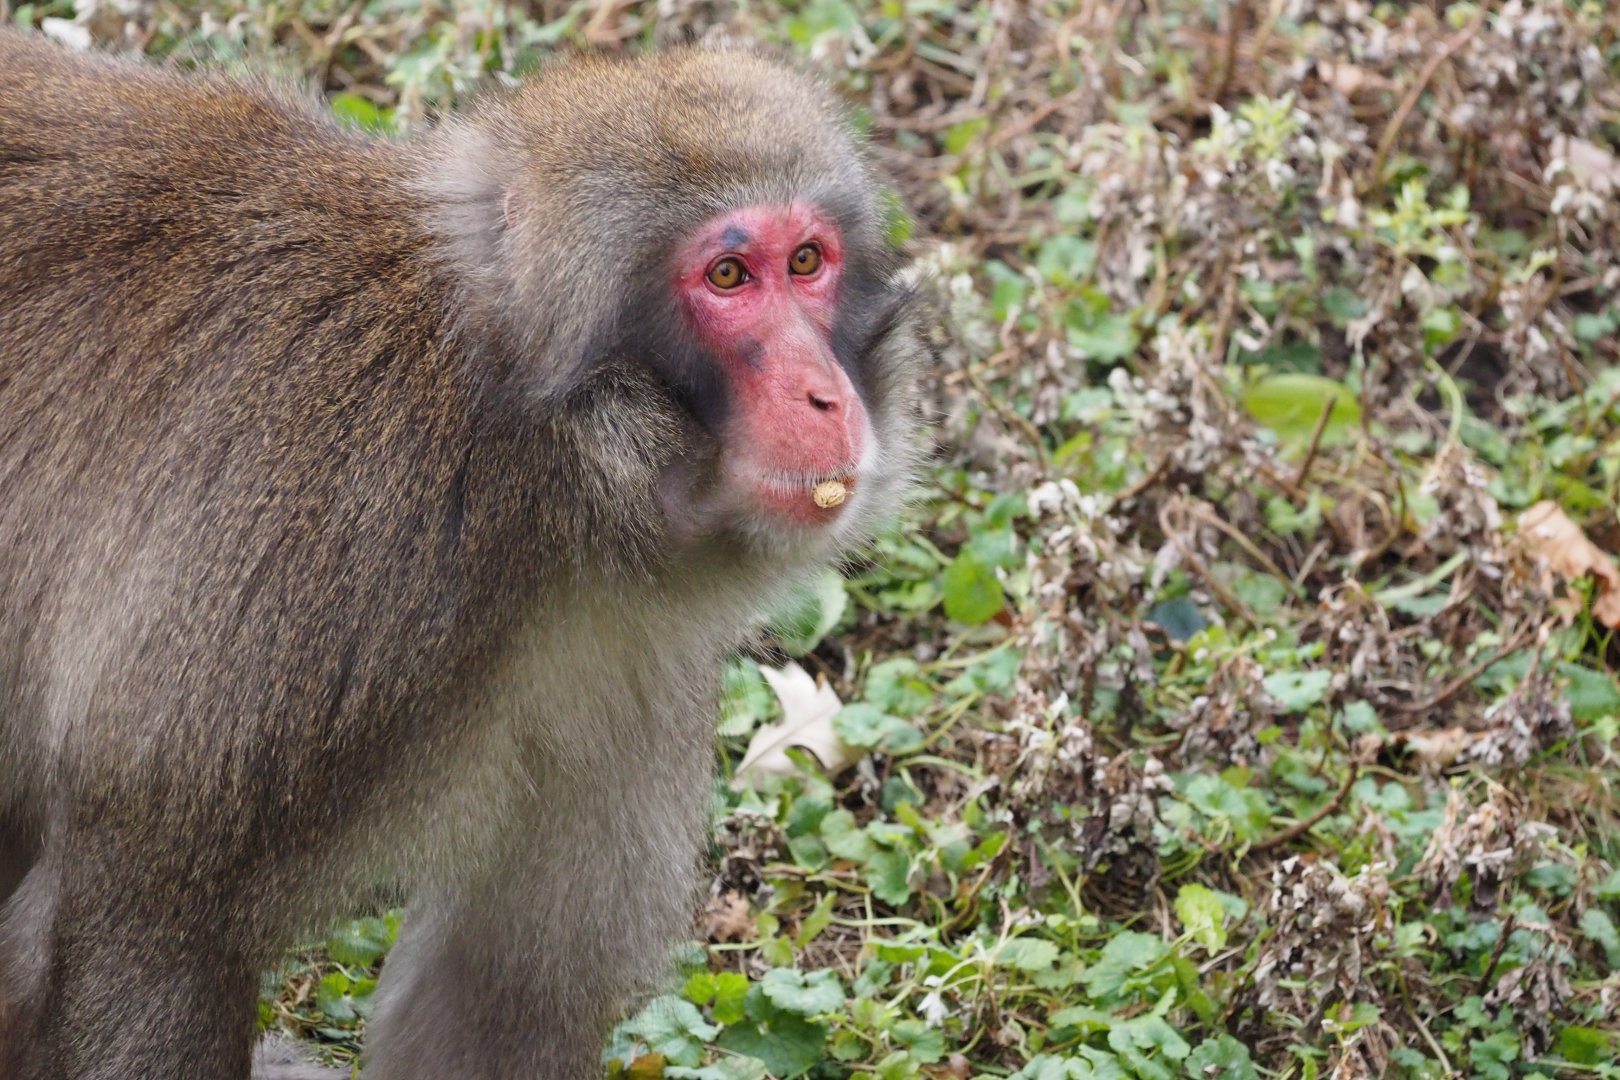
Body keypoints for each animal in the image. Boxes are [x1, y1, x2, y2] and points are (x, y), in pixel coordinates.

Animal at [0, 28, 926, 1080]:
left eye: (808, 261)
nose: (824, 395)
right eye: (729, 278)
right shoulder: (325, 572)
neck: (538, 468)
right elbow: (147, 915)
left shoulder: (623, 664)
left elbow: (489, 1005)